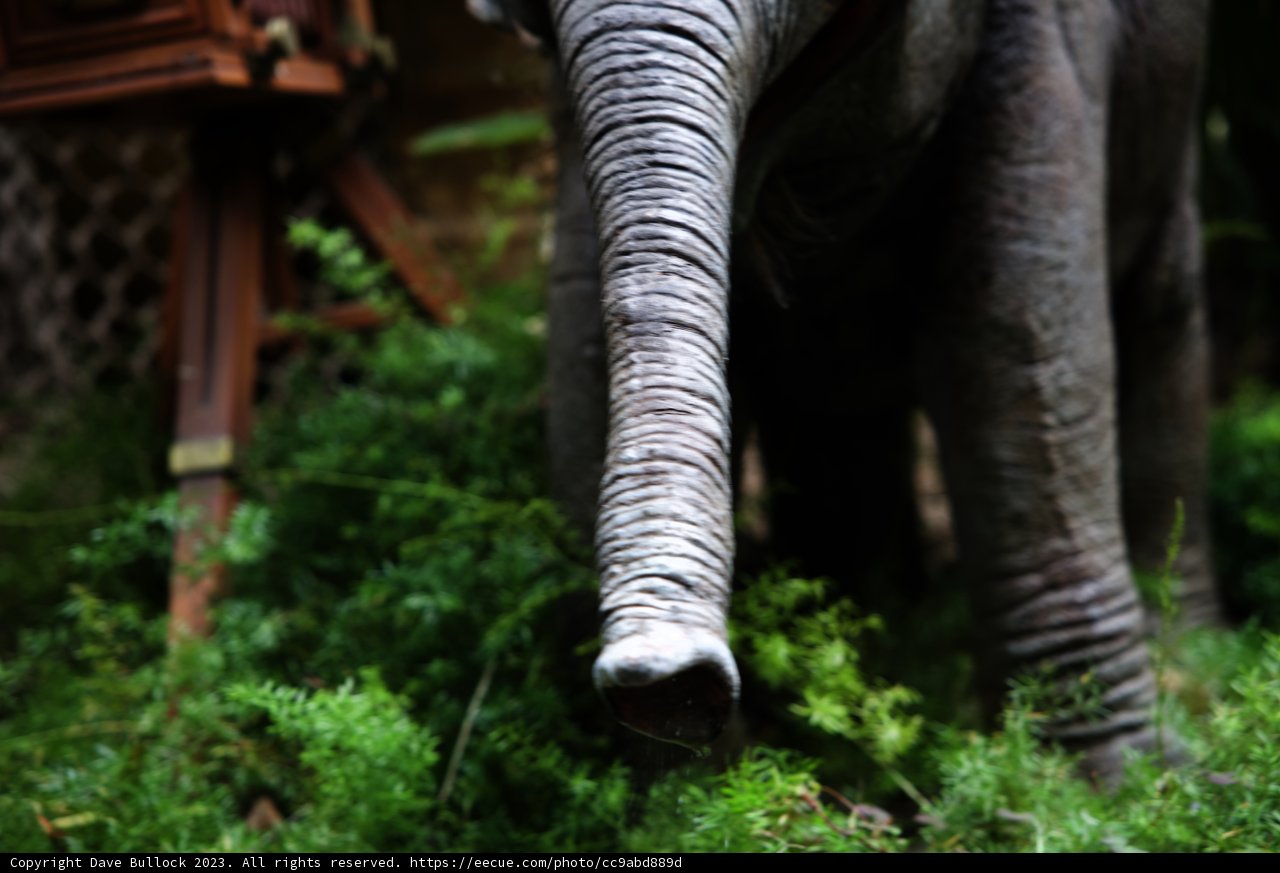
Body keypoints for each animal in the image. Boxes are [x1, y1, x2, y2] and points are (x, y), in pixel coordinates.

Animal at [470, 0, 1220, 776]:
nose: (669, 682)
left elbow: (1015, 333)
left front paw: (1117, 785)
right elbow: (582, 344)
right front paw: (682, 788)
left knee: (1161, 311)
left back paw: (1192, 660)